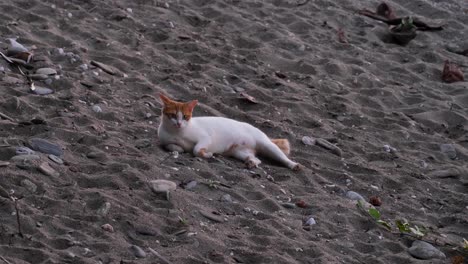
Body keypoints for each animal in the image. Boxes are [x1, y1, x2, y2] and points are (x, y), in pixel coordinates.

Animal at [157, 94, 302, 170]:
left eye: (185, 117)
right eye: (173, 115)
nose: (179, 123)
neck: (177, 133)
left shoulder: (205, 137)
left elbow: (196, 149)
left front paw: (206, 154)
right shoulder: (166, 141)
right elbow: (173, 146)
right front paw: (179, 148)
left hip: (267, 145)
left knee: (283, 158)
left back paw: (293, 165)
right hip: (240, 152)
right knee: (256, 159)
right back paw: (251, 162)